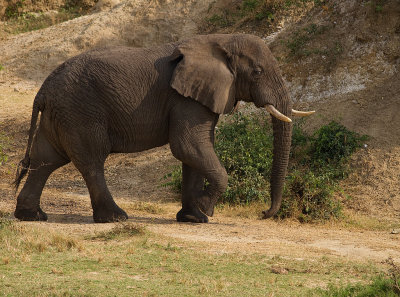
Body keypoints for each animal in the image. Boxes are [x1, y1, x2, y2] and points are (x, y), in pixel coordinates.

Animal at [12, 33, 314, 222]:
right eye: (258, 72)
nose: (263, 214)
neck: (221, 39)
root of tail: (43, 88)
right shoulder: (185, 97)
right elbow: (188, 146)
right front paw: (205, 210)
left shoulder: (197, 96)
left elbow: (196, 150)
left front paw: (194, 218)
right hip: (80, 111)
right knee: (91, 160)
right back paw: (115, 218)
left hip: (61, 113)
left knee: (45, 159)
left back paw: (31, 216)